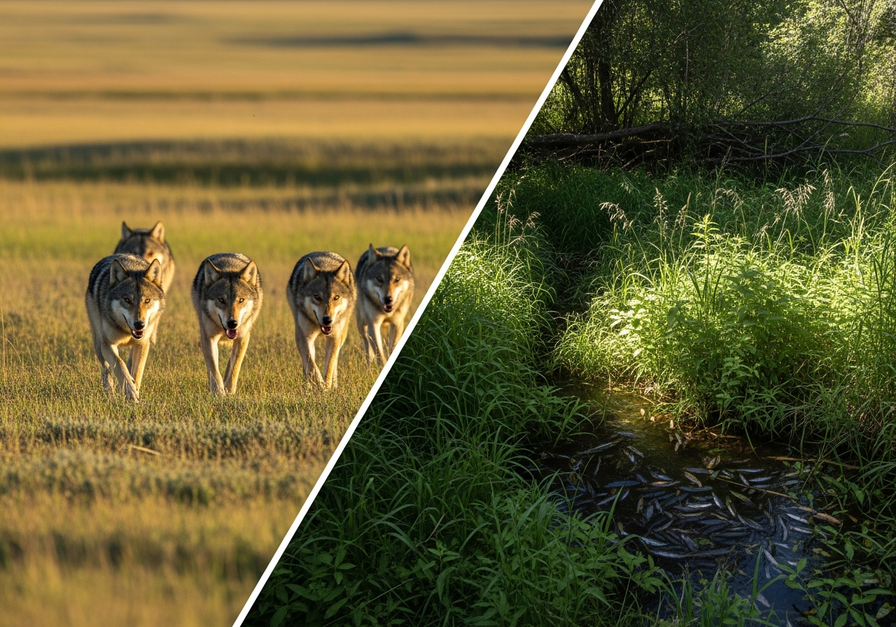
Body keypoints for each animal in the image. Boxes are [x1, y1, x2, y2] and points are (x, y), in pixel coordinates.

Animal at [85, 253, 166, 401]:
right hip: (98, 344)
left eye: (147, 300)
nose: (139, 324)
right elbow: (119, 365)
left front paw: (134, 393)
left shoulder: (143, 344)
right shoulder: (107, 344)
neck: (127, 332)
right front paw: (130, 391)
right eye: (127, 300)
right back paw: (109, 391)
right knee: (106, 368)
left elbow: (137, 371)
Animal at [191, 253, 263, 395]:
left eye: (241, 300)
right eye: (221, 300)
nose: (232, 323)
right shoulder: (208, 338)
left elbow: (234, 368)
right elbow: (214, 369)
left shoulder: (242, 338)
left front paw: (229, 392)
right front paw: (218, 394)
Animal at [286, 251, 355, 389]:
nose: (327, 319)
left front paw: (327, 388)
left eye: (336, 297)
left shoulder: (334, 338)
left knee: (334, 363)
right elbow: (312, 367)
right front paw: (319, 387)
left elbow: (329, 367)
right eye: (317, 297)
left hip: (342, 336)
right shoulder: (304, 338)